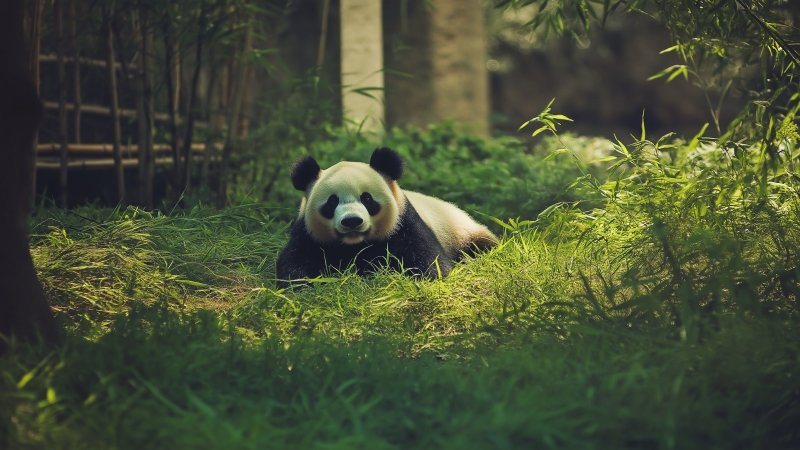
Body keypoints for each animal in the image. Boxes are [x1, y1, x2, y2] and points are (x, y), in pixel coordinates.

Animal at [276, 147, 498, 288]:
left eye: (367, 198)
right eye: (332, 202)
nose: (352, 221)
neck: (355, 245)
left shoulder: (403, 224)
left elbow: (429, 263)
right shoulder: (308, 234)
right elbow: (295, 263)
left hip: (460, 232)